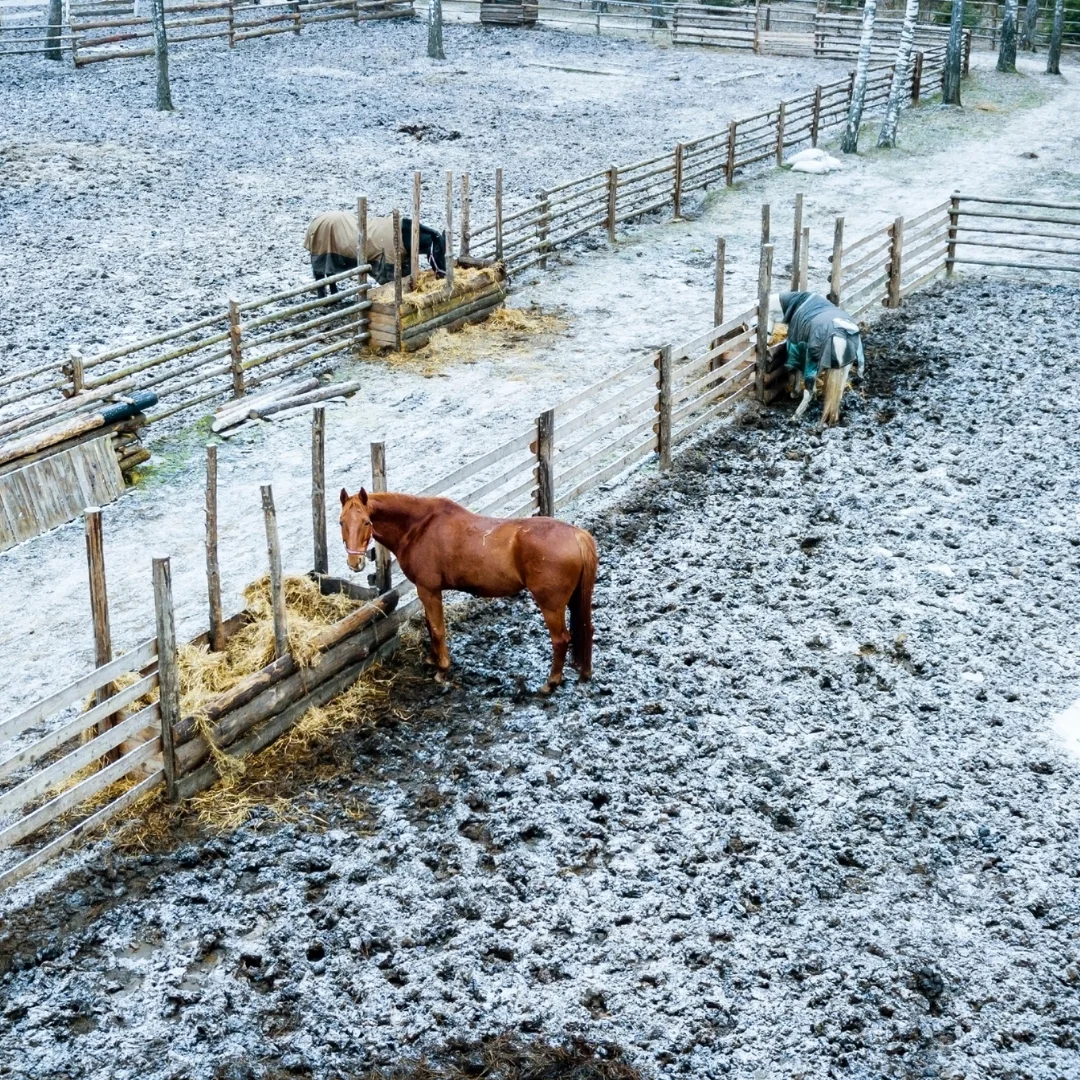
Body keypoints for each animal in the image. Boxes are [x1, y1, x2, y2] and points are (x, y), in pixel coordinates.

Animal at [304, 211, 448, 297]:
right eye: (436, 250)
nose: (443, 275)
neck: (403, 236)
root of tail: (314, 222)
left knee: (329, 275)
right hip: (320, 254)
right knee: (320, 276)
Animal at [339, 488, 598, 695]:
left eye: (366, 522)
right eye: (341, 522)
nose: (354, 563)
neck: (419, 526)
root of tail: (577, 535)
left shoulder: (429, 590)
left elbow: (437, 629)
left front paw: (442, 670)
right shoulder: (426, 591)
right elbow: (429, 626)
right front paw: (432, 659)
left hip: (551, 605)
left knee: (561, 639)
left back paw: (550, 683)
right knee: (586, 629)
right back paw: (584, 673)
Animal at [768, 290, 865, 426]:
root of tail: (840, 333)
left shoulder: (799, 350)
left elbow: (797, 372)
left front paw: (795, 392)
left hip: (813, 363)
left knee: (808, 392)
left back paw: (795, 416)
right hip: (844, 367)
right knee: (838, 392)